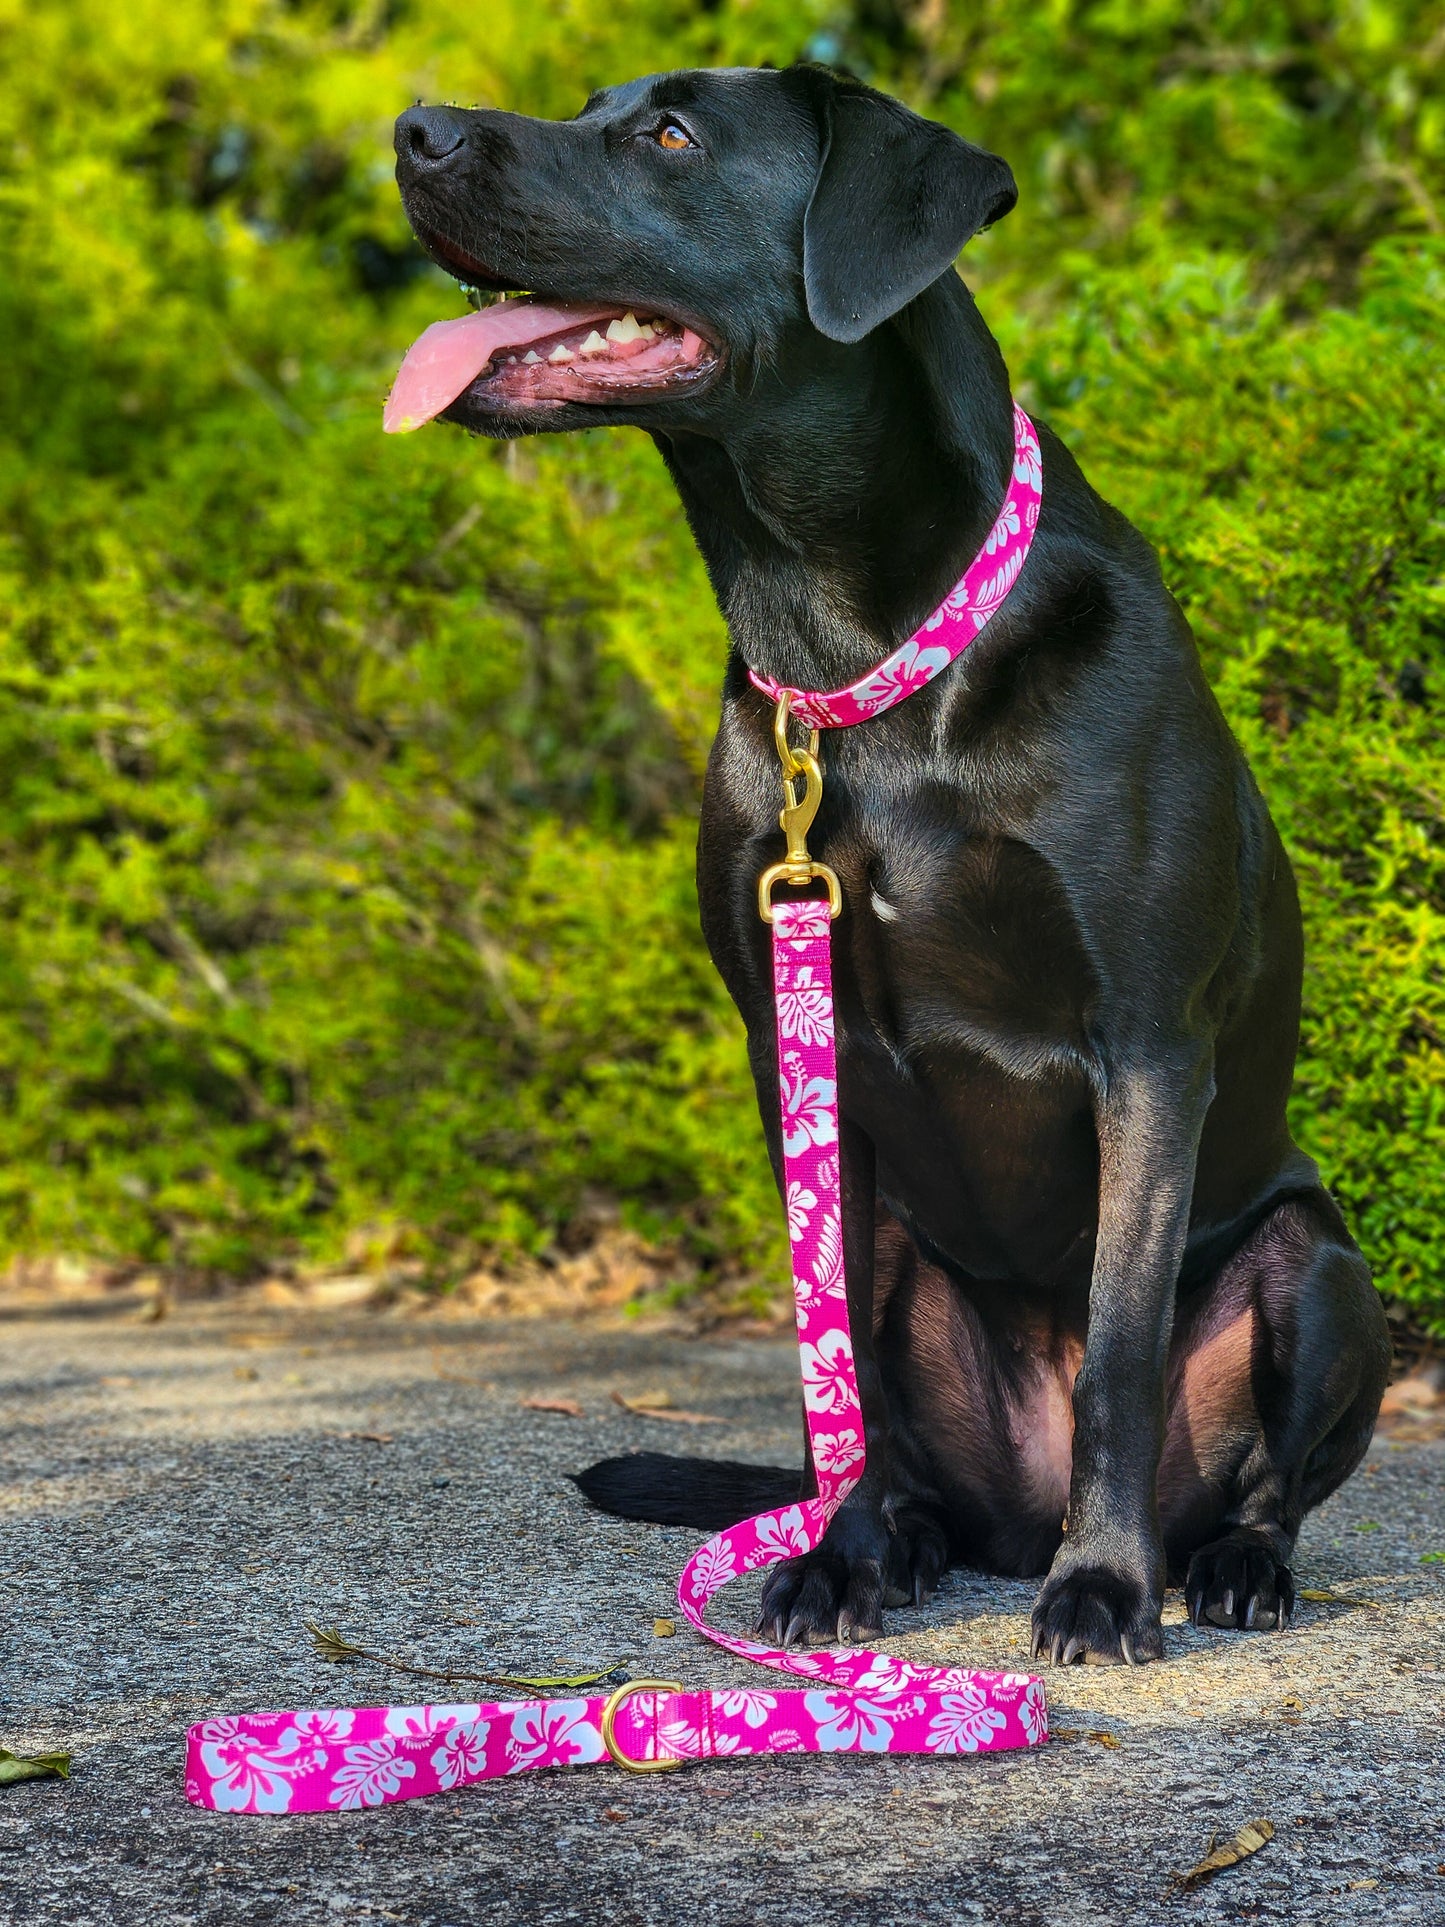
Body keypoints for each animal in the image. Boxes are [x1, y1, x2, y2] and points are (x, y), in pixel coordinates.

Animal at [393, 60, 1394, 1657]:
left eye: (667, 134)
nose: (411, 133)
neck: (861, 667)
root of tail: (1011, 1517)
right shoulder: (793, 1052)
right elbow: (836, 1367)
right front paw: (838, 1561)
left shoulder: (1147, 1048)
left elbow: (1120, 1343)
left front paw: (1103, 1586)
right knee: (892, 1439)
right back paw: (909, 1541)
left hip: (1320, 1266)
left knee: (1261, 1482)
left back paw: (1217, 1562)